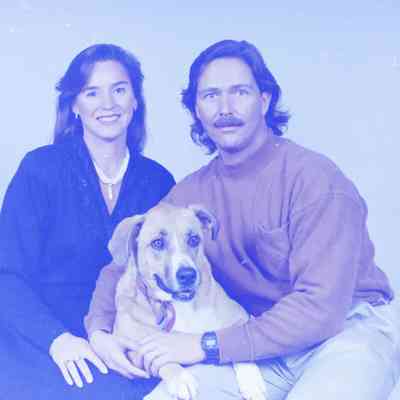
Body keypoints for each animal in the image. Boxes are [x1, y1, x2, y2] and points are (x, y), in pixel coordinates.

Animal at [109, 202, 267, 400]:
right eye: (157, 243)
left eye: (193, 239)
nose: (188, 275)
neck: (180, 307)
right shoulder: (135, 352)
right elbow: (162, 359)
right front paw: (180, 378)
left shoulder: (241, 316)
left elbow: (241, 343)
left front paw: (251, 382)